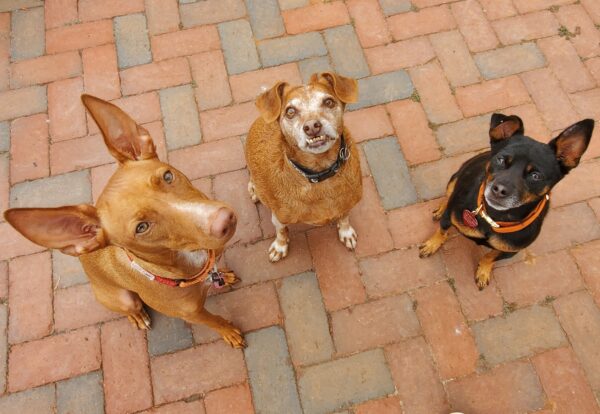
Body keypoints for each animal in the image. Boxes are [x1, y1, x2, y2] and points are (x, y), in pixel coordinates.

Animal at [4, 95, 244, 348]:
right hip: (124, 299)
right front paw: (228, 332)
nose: (224, 219)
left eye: (167, 176)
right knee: (130, 307)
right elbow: (215, 320)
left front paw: (223, 275)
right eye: (141, 227)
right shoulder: (193, 313)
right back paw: (137, 316)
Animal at [246, 73, 364, 262]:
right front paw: (280, 246)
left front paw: (346, 232)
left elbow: (344, 217)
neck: (320, 175)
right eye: (290, 111)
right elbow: (281, 231)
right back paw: (254, 190)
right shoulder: (279, 217)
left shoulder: (347, 203)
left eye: (328, 102)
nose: (312, 127)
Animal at [420, 113, 592, 288]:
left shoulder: (509, 251)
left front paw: (483, 271)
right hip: (455, 179)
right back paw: (440, 209)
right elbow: (441, 231)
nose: (499, 190)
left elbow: (490, 257)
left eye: (536, 175)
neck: (494, 217)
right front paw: (432, 245)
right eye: (501, 160)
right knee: (448, 196)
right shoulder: (450, 217)